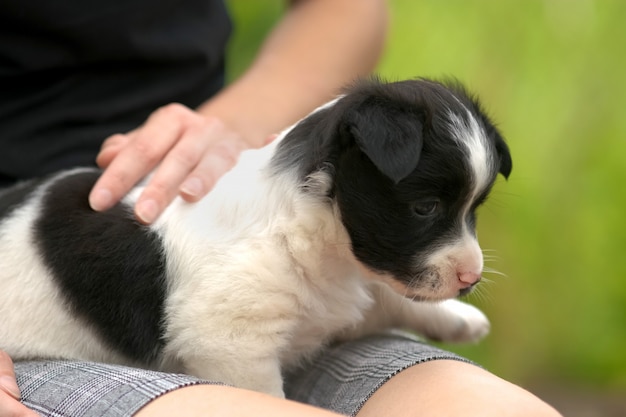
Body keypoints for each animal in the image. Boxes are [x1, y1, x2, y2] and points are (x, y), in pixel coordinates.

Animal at [0, 78, 510, 396]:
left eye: (474, 210)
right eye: (424, 208)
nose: (471, 279)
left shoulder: (336, 298)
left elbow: (387, 296)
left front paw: (456, 319)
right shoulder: (231, 344)